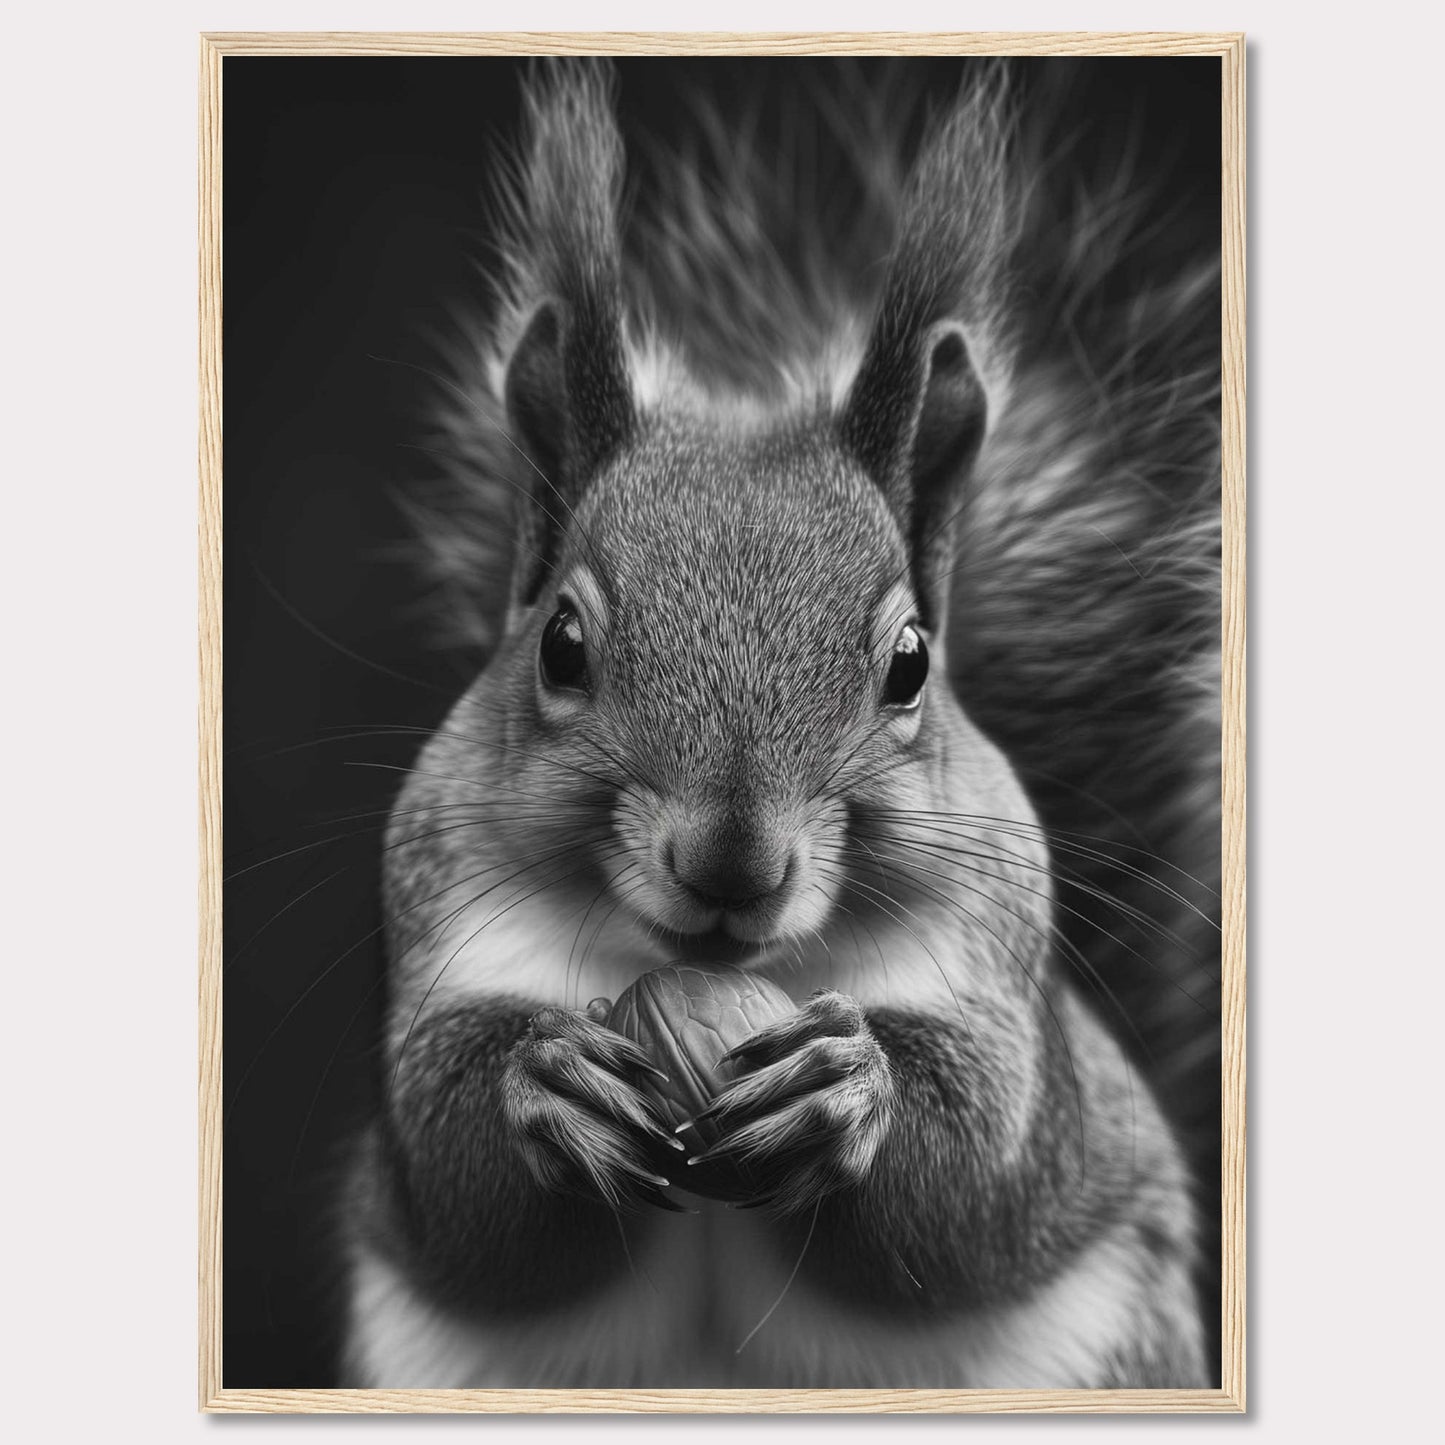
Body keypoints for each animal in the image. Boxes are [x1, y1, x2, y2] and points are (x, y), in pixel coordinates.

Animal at [338, 62, 1219, 1392]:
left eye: (909, 665)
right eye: (559, 644)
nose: (732, 865)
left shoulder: (1006, 1001)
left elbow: (974, 1188)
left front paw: (849, 1091)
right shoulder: (439, 932)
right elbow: (457, 1196)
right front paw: (544, 1082)